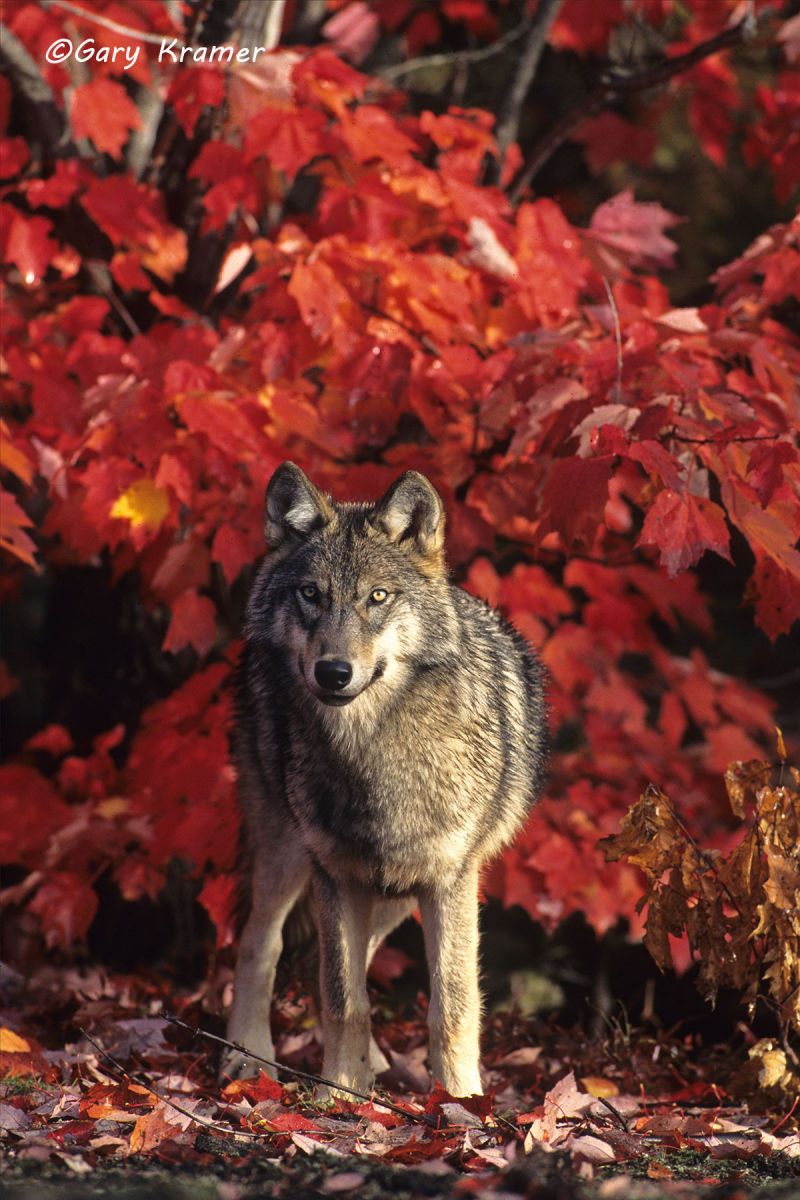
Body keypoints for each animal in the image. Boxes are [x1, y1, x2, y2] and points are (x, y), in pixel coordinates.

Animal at [223, 463, 547, 1097]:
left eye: (377, 596)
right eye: (311, 594)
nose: (333, 671)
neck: (372, 755)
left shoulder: (450, 880)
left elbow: (451, 1005)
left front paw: (461, 1101)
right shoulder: (333, 872)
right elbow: (343, 1000)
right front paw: (335, 1094)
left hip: (396, 893)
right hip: (288, 850)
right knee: (260, 943)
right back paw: (247, 1056)